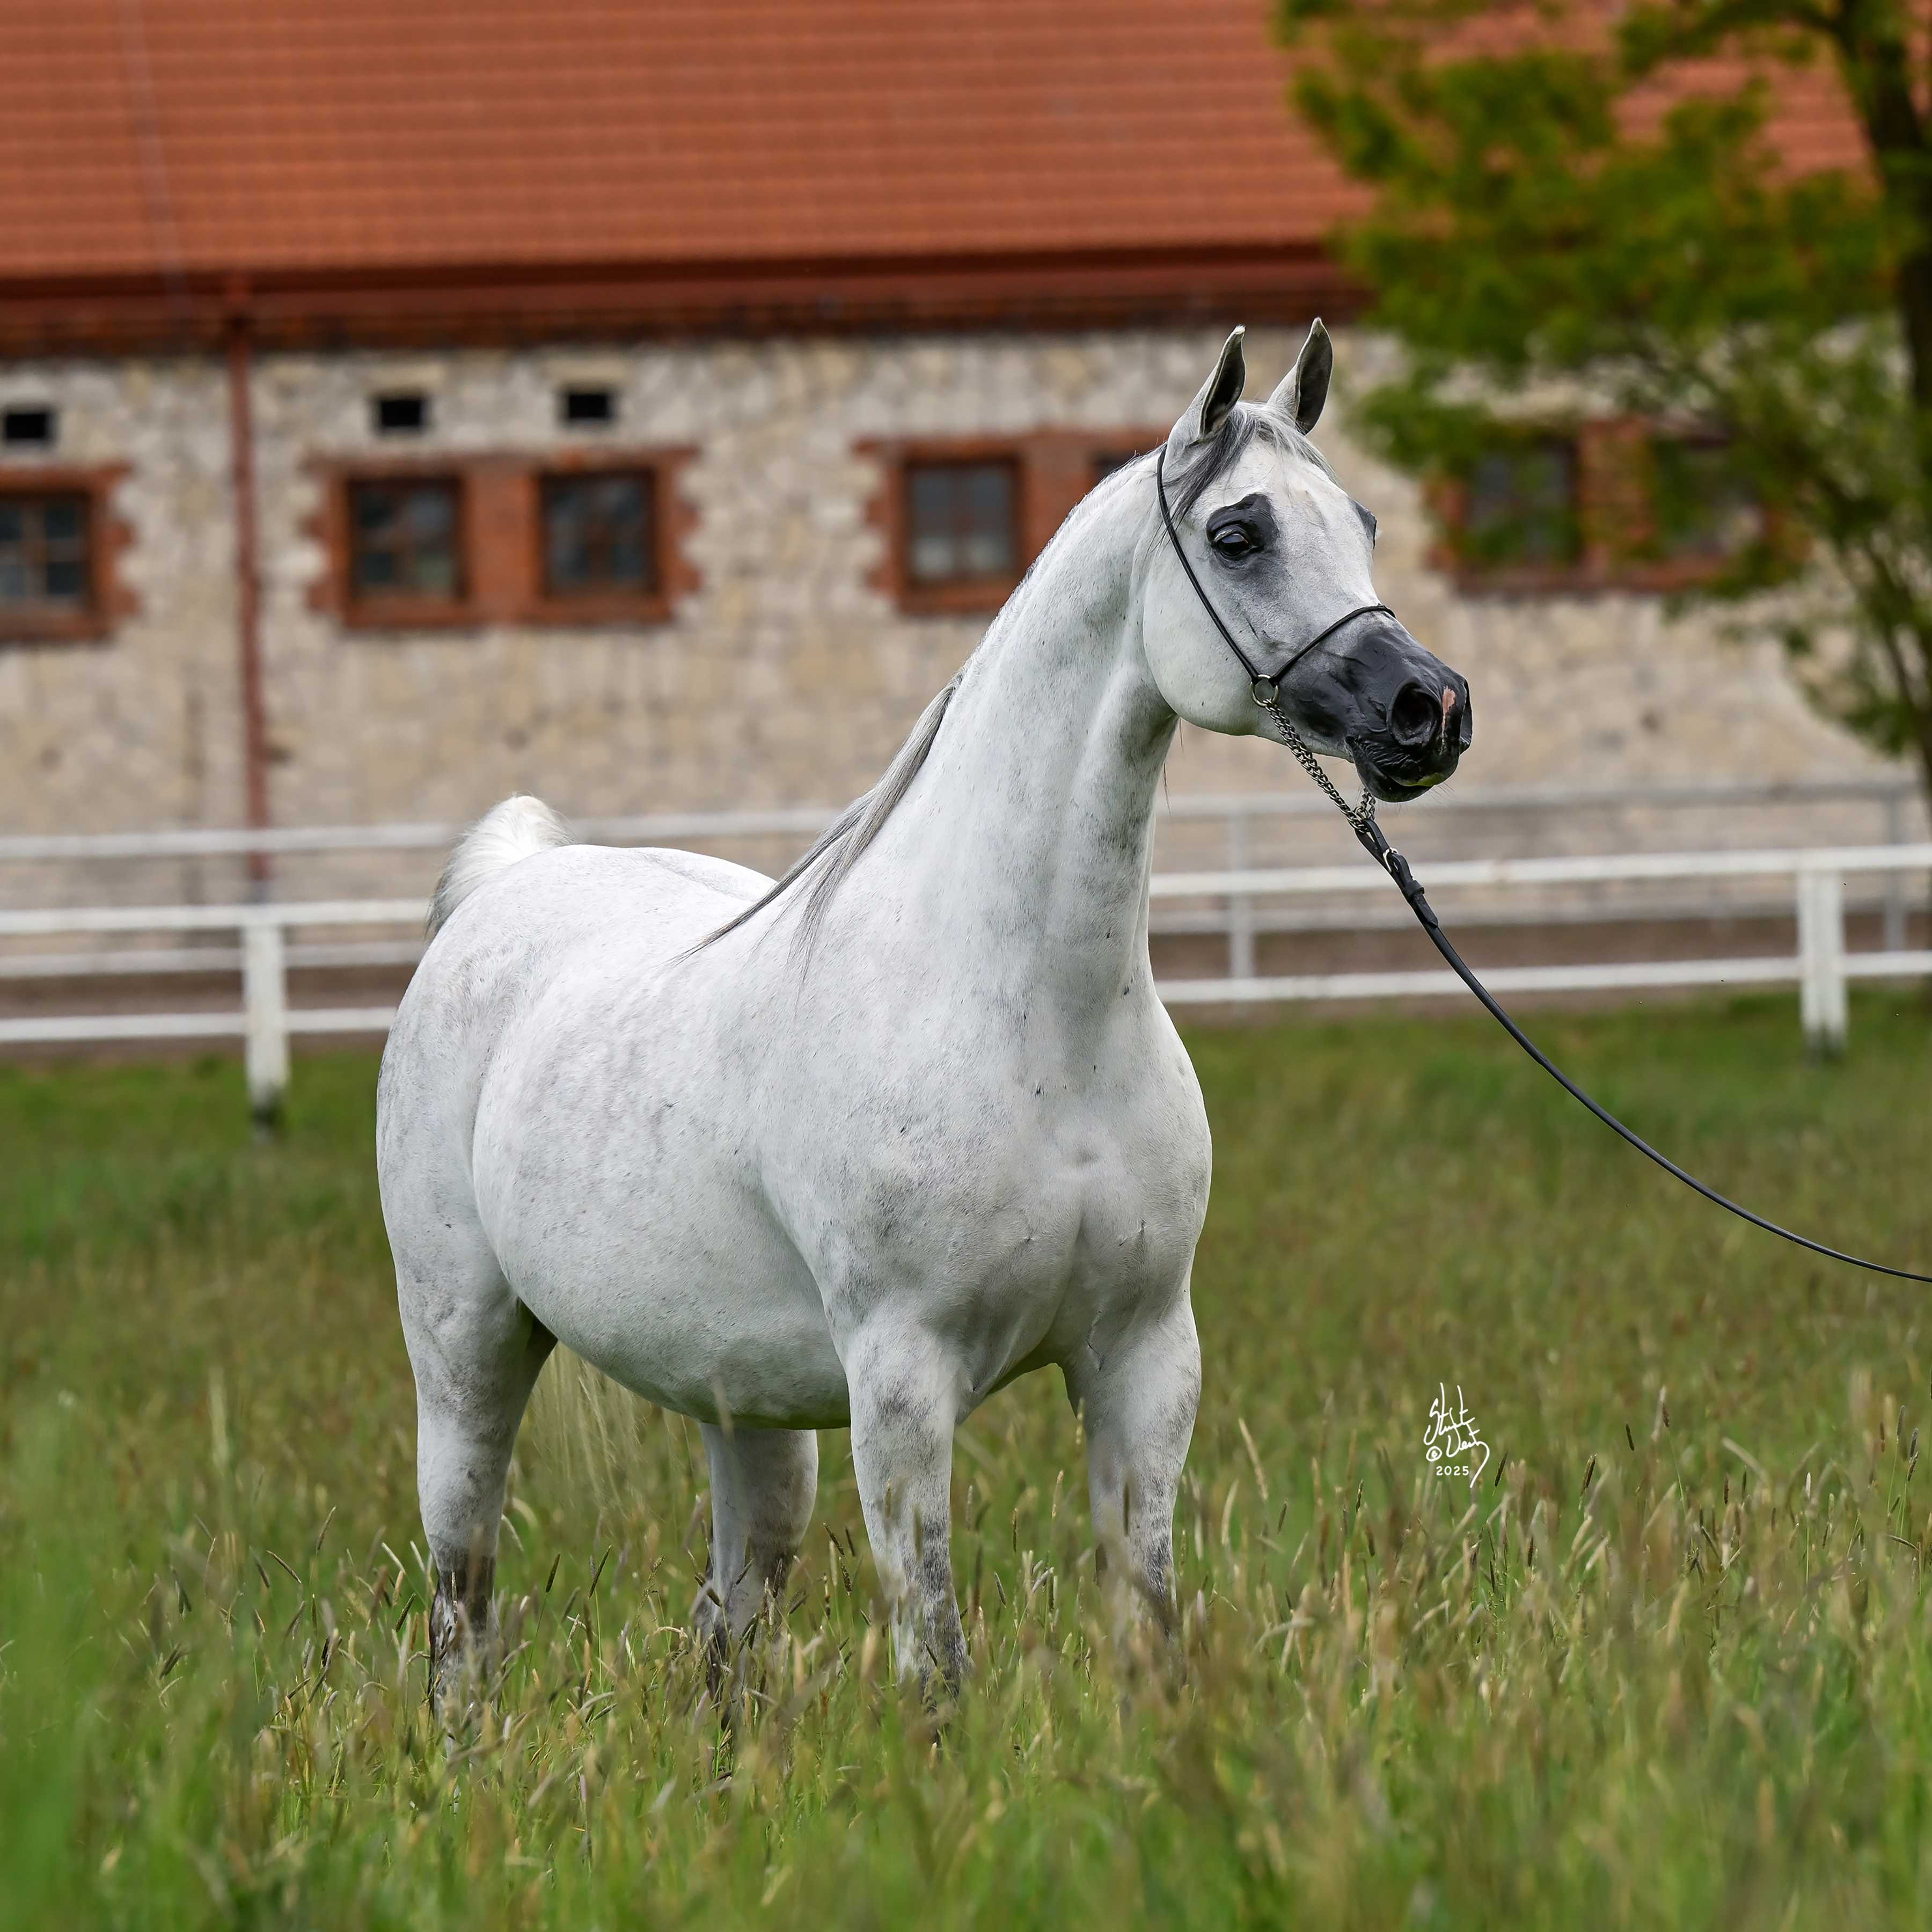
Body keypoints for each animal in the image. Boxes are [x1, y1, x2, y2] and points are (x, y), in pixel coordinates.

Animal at [376, 322, 1472, 1702]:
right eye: (1239, 534)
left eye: (1365, 522)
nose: (1430, 709)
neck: (1037, 1027)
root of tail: (508, 882)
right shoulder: (903, 1384)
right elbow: (936, 1657)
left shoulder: (1144, 1361)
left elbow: (1149, 1620)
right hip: (464, 1358)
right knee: (460, 1610)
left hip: (743, 1410)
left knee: (724, 1629)